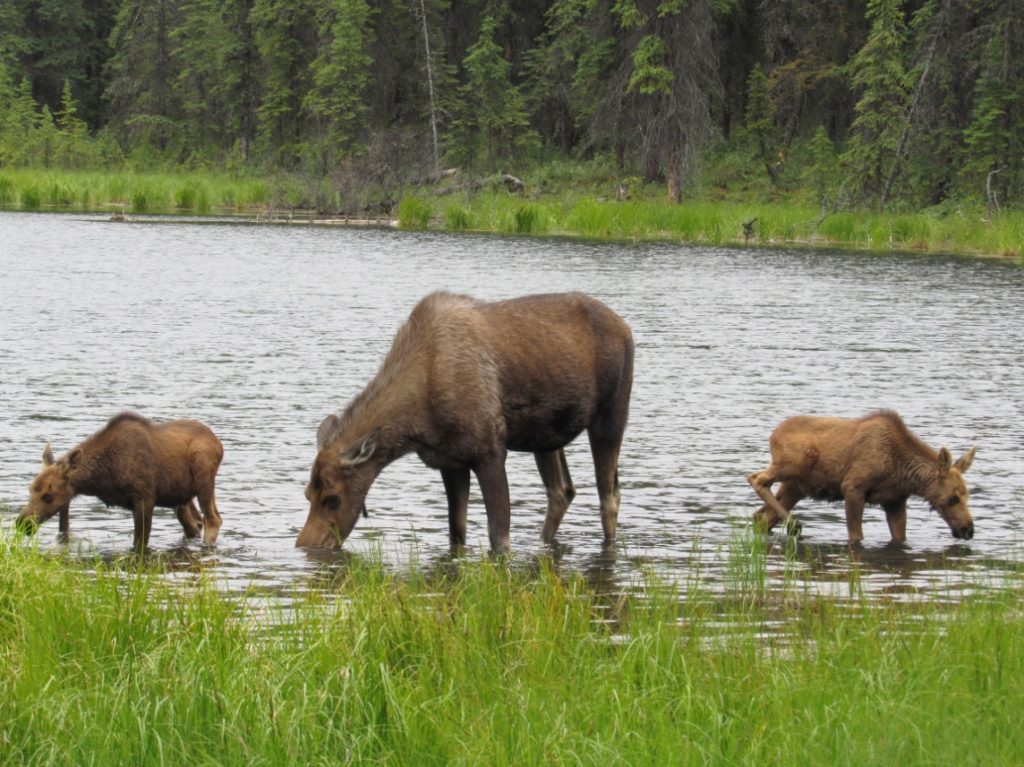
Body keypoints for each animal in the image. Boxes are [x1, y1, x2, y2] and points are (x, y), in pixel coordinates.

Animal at [16, 413, 225, 548]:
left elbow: (139, 542)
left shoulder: (145, 497)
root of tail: (219, 444)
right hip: (182, 497)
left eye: (48, 496)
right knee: (195, 523)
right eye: (30, 490)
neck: (101, 479)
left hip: (204, 475)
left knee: (213, 519)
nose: (21, 523)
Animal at [296, 290, 630, 552]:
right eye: (307, 494)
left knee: (609, 496)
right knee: (561, 491)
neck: (415, 423)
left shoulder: (490, 452)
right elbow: (456, 534)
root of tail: (626, 327)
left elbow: (499, 540)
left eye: (333, 498)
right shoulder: (451, 461)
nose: (305, 546)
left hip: (610, 419)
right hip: (546, 437)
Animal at [753, 409, 974, 540]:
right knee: (756, 479)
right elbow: (856, 536)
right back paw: (794, 524)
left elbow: (900, 537)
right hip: (796, 463)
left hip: (795, 486)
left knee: (763, 516)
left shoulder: (895, 501)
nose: (968, 530)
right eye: (952, 498)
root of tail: (773, 435)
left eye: (967, 496)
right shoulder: (852, 487)